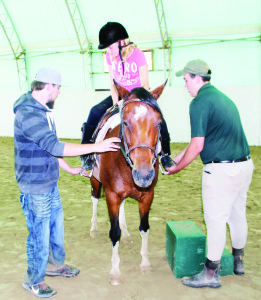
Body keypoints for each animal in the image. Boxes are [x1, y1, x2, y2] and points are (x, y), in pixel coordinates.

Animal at [90, 81, 166, 284]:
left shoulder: (148, 195)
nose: (143, 175)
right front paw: (115, 271)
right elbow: (113, 232)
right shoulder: (111, 195)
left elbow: (145, 228)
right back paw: (94, 228)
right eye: (125, 122)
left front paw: (145, 264)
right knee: (94, 198)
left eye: (159, 123)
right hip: (95, 179)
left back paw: (126, 234)